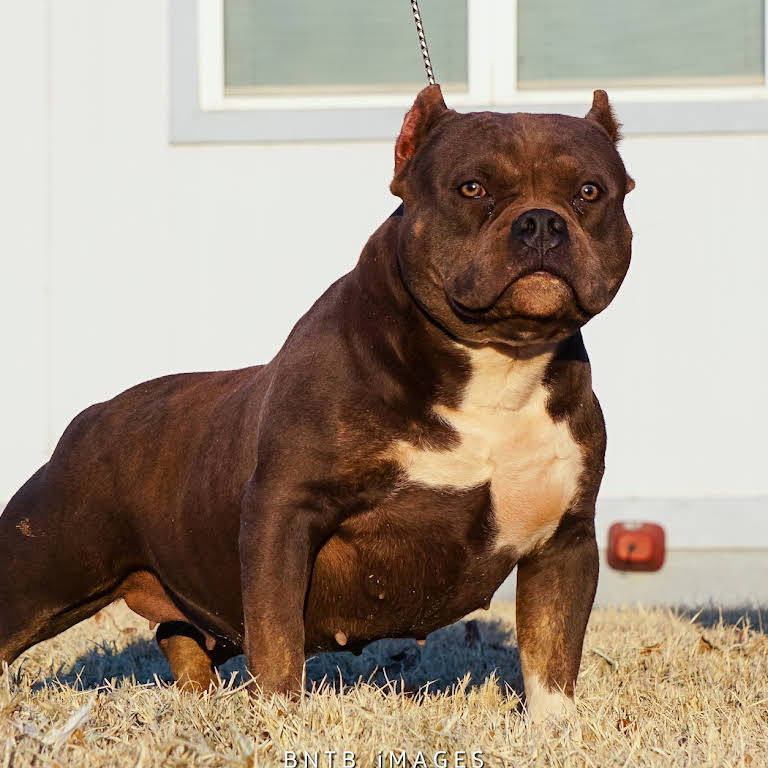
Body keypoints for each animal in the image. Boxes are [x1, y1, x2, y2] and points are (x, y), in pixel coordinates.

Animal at [0, 87, 632, 724]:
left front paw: (553, 729)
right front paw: (280, 718)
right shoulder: (283, 515)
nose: (542, 222)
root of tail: (90, 416)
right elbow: (277, 639)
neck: (497, 362)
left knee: (178, 634)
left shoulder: (565, 542)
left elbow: (552, 654)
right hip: (43, 568)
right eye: (473, 188)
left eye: (589, 192)